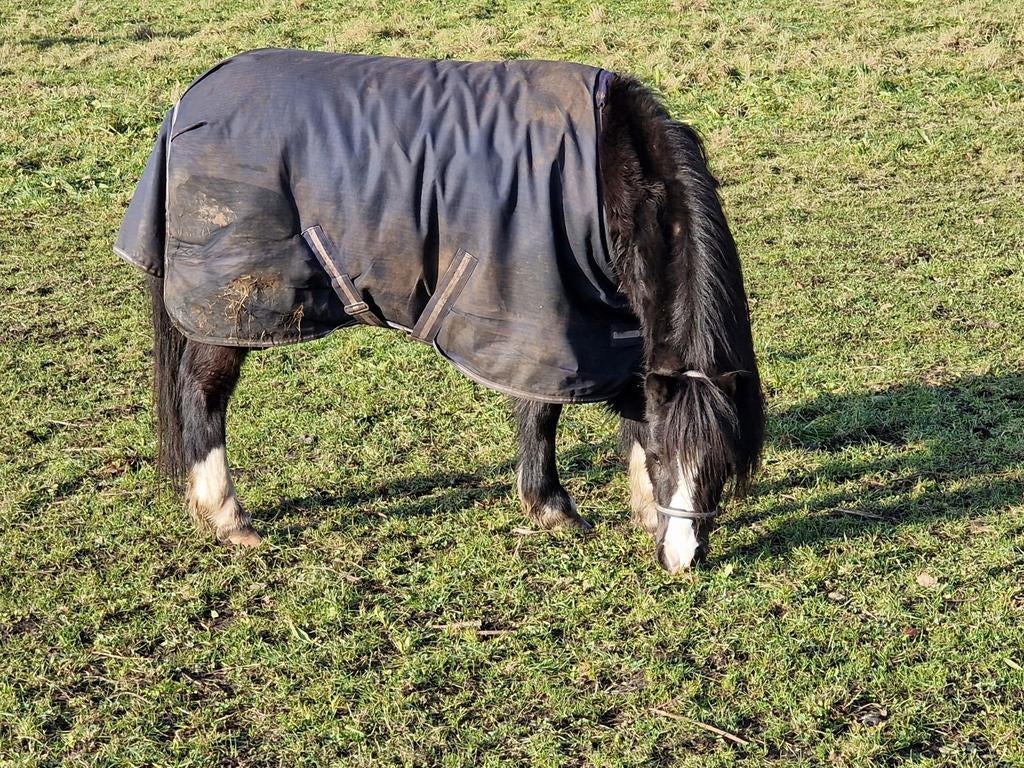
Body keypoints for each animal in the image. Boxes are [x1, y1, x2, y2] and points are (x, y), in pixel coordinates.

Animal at [118, 50, 765, 572]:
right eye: (665, 458)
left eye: (718, 468)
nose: (683, 561)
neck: (611, 175)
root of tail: (189, 101)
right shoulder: (538, 320)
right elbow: (542, 413)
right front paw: (553, 508)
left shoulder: (611, 326)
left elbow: (634, 406)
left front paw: (643, 512)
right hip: (229, 310)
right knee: (203, 393)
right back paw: (228, 517)